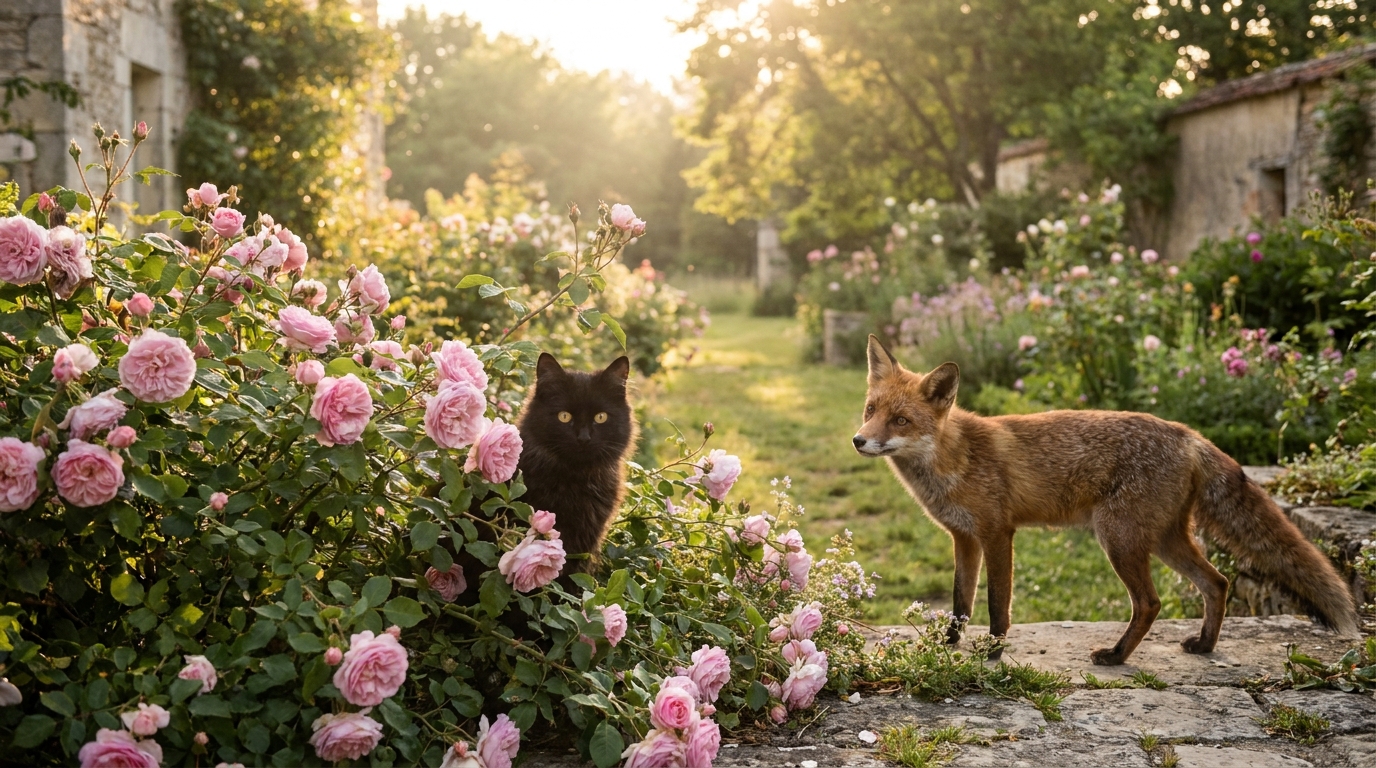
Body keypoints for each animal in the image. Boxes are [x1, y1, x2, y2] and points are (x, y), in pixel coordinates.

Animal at [853, 335, 1359, 665]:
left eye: (901, 420)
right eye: (871, 410)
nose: (859, 440)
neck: (952, 460)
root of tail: (1188, 433)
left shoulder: (998, 534)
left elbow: (997, 605)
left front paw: (992, 652)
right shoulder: (964, 537)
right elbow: (960, 601)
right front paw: (949, 645)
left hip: (1119, 539)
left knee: (1151, 603)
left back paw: (1116, 656)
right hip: (1163, 540)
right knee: (1217, 583)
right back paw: (1205, 646)